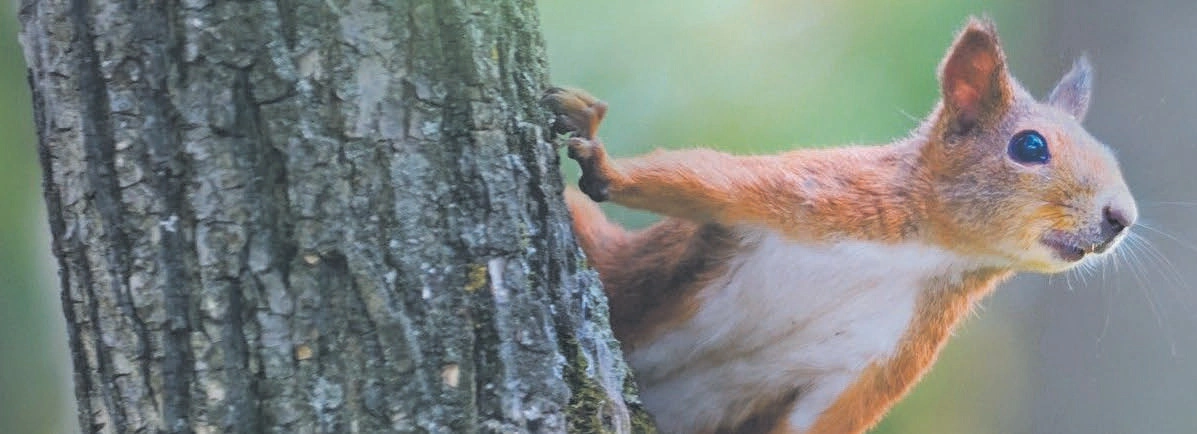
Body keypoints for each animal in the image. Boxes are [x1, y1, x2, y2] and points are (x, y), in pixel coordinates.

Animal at [543, 17, 1137, 434]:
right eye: (1030, 146)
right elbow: (699, 179)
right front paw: (604, 164)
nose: (1122, 217)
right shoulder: (813, 194)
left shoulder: (881, 361)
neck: (929, 252)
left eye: (1111, 154)